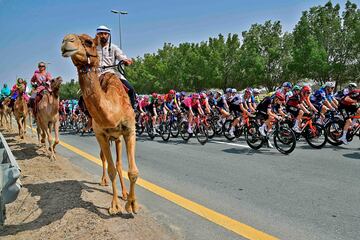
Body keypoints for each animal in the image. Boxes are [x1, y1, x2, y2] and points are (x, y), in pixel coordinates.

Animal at [61, 33, 139, 214]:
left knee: (118, 163)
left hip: (117, 138)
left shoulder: (130, 130)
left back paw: (124, 193)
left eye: (89, 42)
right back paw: (104, 182)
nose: (66, 41)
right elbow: (111, 170)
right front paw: (115, 206)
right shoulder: (100, 134)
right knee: (104, 158)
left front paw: (132, 204)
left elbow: (132, 171)